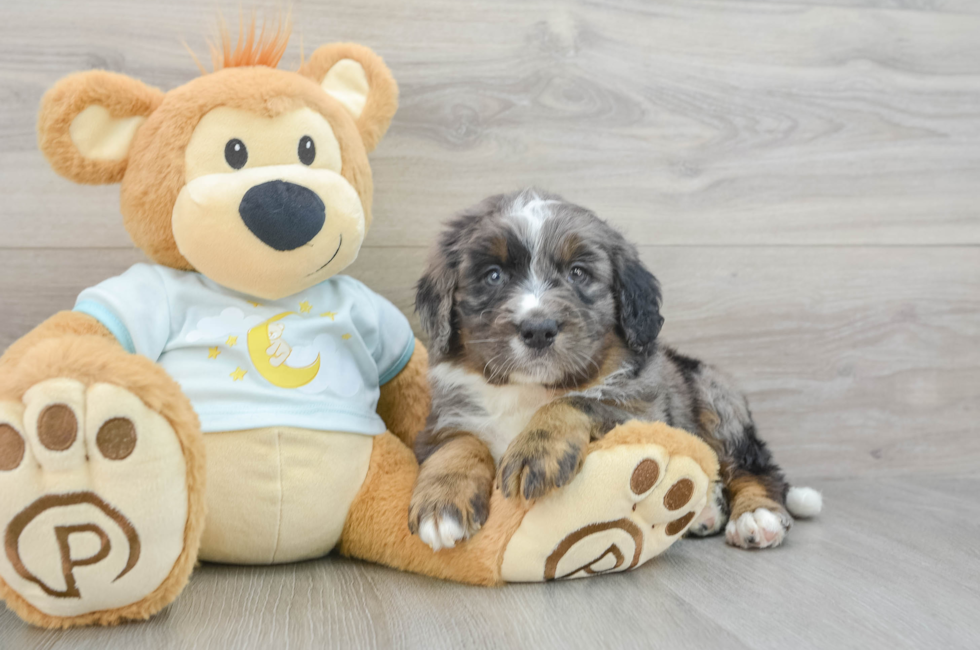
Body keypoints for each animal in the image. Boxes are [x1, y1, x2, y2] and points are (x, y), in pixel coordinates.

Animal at [406, 189, 820, 552]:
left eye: (578, 273)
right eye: (493, 275)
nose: (538, 329)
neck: (529, 389)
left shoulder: (643, 413)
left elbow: (576, 401)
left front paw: (535, 452)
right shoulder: (444, 418)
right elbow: (459, 442)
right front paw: (442, 501)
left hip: (715, 400)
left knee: (755, 467)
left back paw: (755, 515)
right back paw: (705, 513)